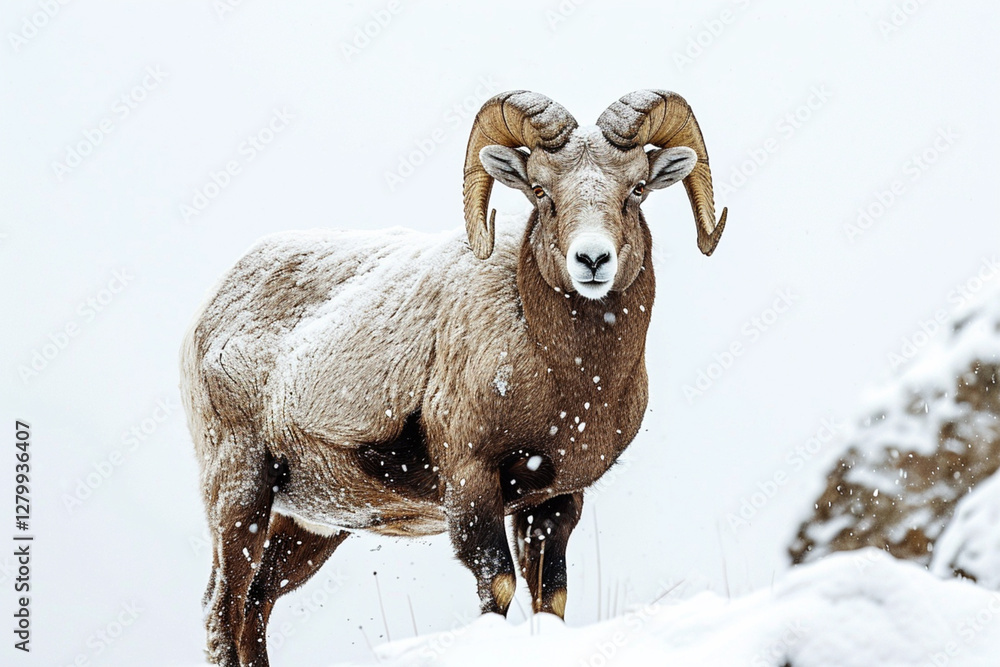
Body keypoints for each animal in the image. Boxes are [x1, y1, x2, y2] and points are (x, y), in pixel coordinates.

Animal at [180, 89, 727, 666]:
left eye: (636, 189)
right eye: (541, 191)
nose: (592, 260)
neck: (572, 382)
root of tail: (211, 308)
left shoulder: (554, 503)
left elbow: (549, 599)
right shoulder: (471, 482)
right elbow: (498, 587)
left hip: (311, 524)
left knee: (256, 604)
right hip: (240, 490)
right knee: (223, 609)